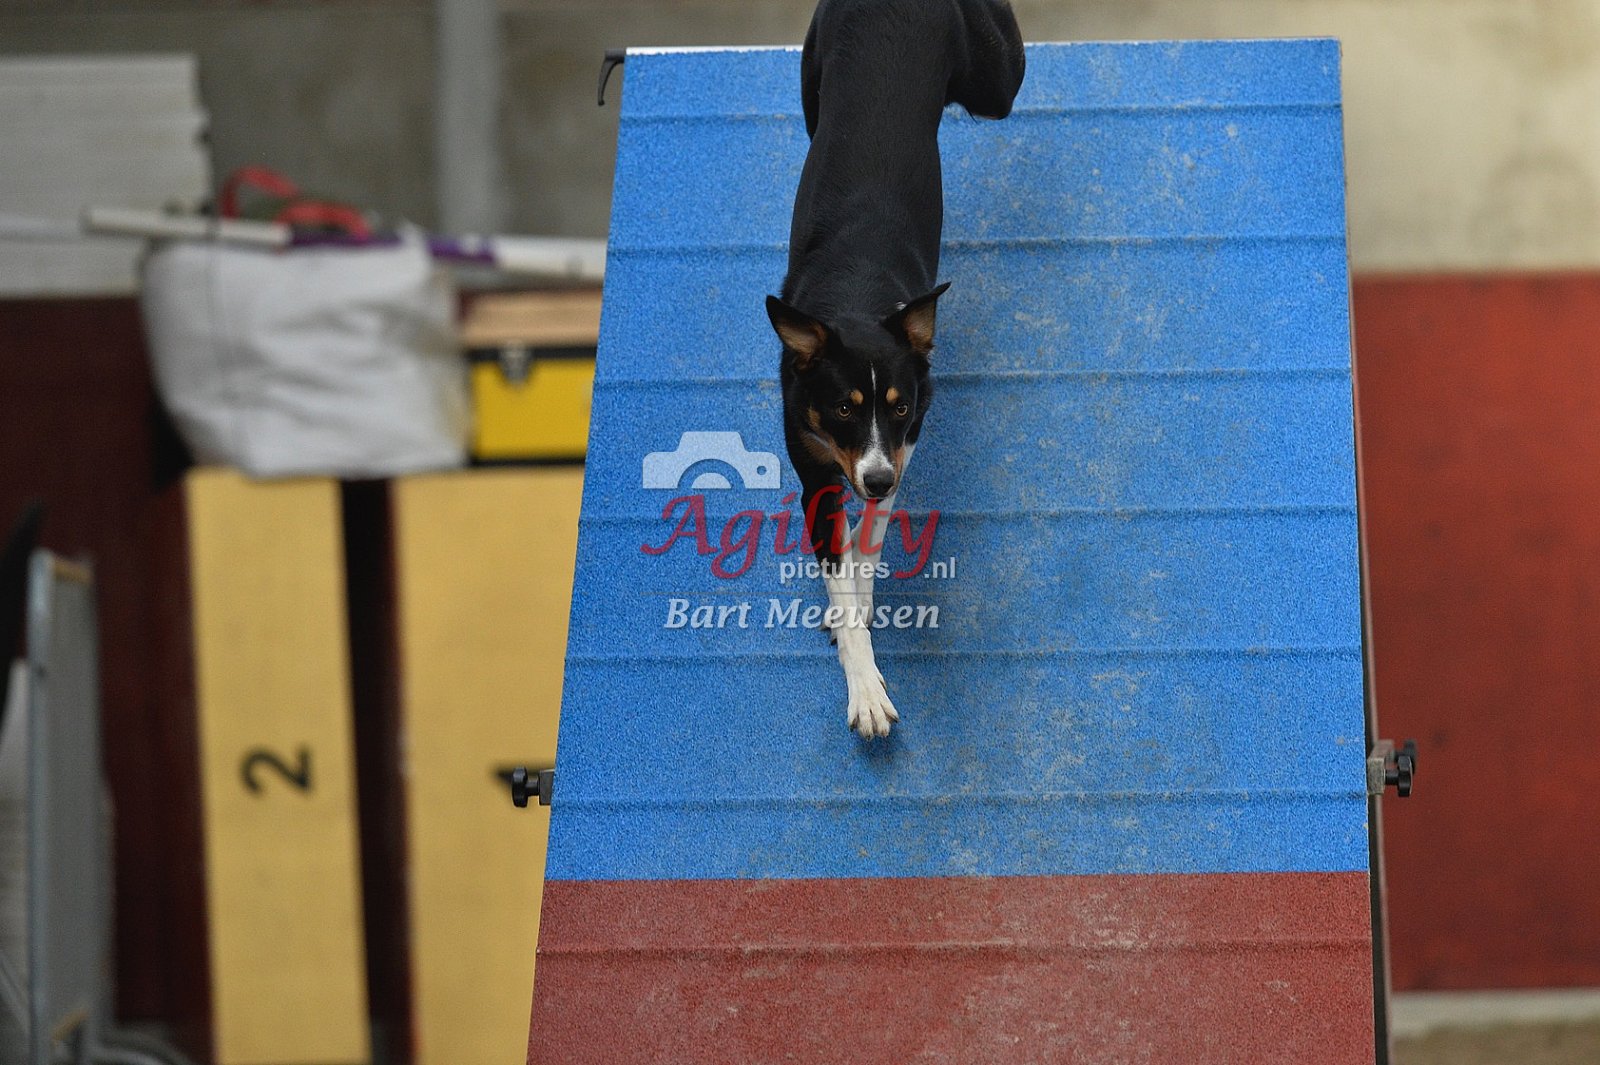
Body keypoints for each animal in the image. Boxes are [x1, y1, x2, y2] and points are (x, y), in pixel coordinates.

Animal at [767, 0, 1024, 738]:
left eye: (901, 404)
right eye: (842, 407)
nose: (877, 479)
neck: (854, 300)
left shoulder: (904, 448)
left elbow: (871, 537)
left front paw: (859, 593)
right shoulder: (818, 466)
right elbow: (844, 552)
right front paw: (863, 685)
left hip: (995, 82)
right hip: (812, 85)